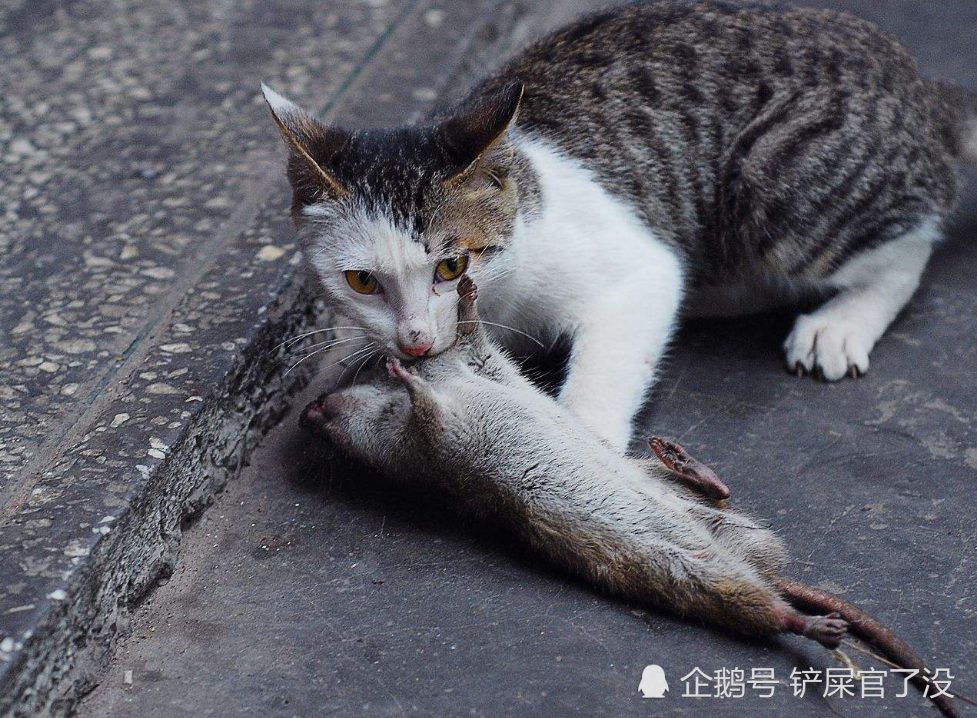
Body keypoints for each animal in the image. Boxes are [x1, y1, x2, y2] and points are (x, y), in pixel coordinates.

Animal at [262, 1, 976, 456]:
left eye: (451, 266)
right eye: (361, 282)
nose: (412, 340)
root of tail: (916, 81)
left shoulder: (634, 267)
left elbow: (633, 312)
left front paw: (581, 445)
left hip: (776, 181)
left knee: (909, 243)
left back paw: (841, 320)